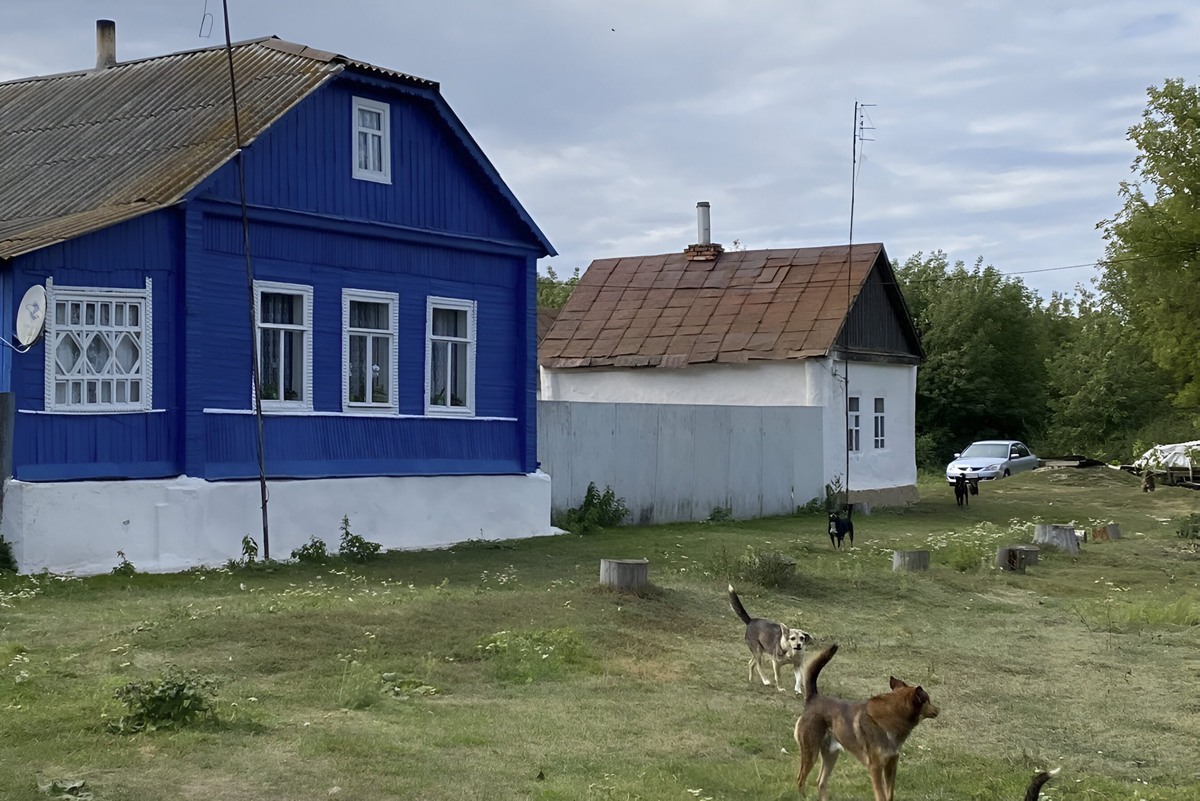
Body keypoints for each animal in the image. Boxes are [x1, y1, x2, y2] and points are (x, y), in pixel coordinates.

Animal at [796, 642, 936, 801]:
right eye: (928, 700)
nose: (938, 709)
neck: (891, 717)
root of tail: (813, 698)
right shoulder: (875, 768)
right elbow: (881, 795)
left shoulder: (891, 765)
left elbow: (889, 795)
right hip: (810, 752)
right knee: (801, 779)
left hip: (831, 754)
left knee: (820, 782)